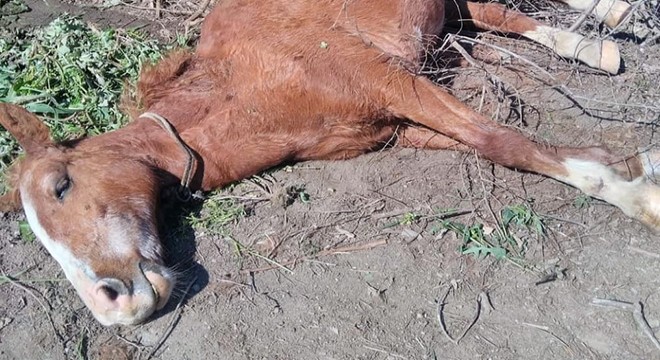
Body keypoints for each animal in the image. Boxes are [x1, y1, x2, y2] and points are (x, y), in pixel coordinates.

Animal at [0, 0, 656, 326]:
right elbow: (495, 142)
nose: (114, 309)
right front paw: (624, 167)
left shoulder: (388, 79)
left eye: (61, 186)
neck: (248, 81)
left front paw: (636, 197)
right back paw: (595, 40)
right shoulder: (394, 128)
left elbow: (503, 143)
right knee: (497, 14)